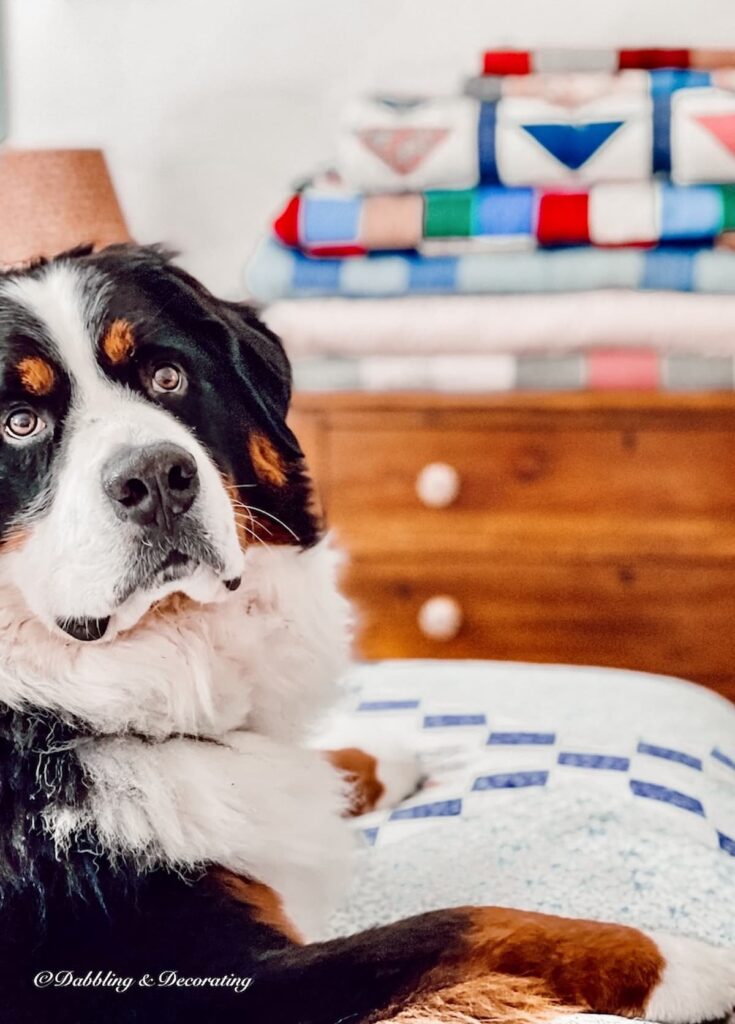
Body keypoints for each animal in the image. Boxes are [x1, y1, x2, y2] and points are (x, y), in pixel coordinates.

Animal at [0, 243, 732, 1019]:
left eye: (167, 376)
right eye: (19, 423)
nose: (159, 477)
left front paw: (377, 758)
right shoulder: (200, 979)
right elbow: (460, 924)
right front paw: (679, 962)